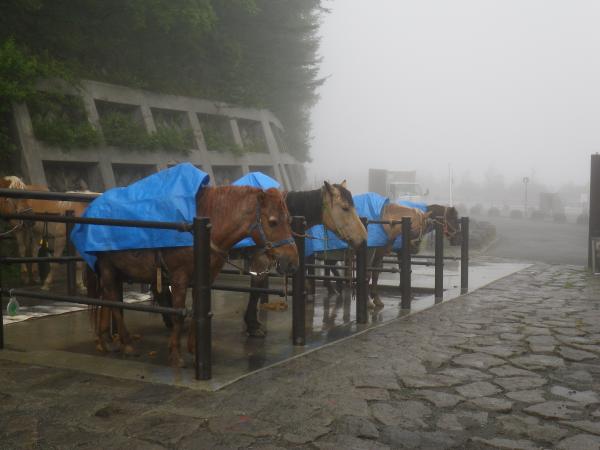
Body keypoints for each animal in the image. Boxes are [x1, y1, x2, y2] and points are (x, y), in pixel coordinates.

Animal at [89, 186, 299, 368]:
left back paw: (104, 340)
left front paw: (195, 349)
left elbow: (199, 308)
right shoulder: (179, 277)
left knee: (107, 299)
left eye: (289, 220)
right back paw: (126, 344)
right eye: (273, 222)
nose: (292, 261)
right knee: (114, 302)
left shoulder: (204, 277)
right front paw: (175, 354)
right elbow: (179, 313)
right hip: (107, 267)